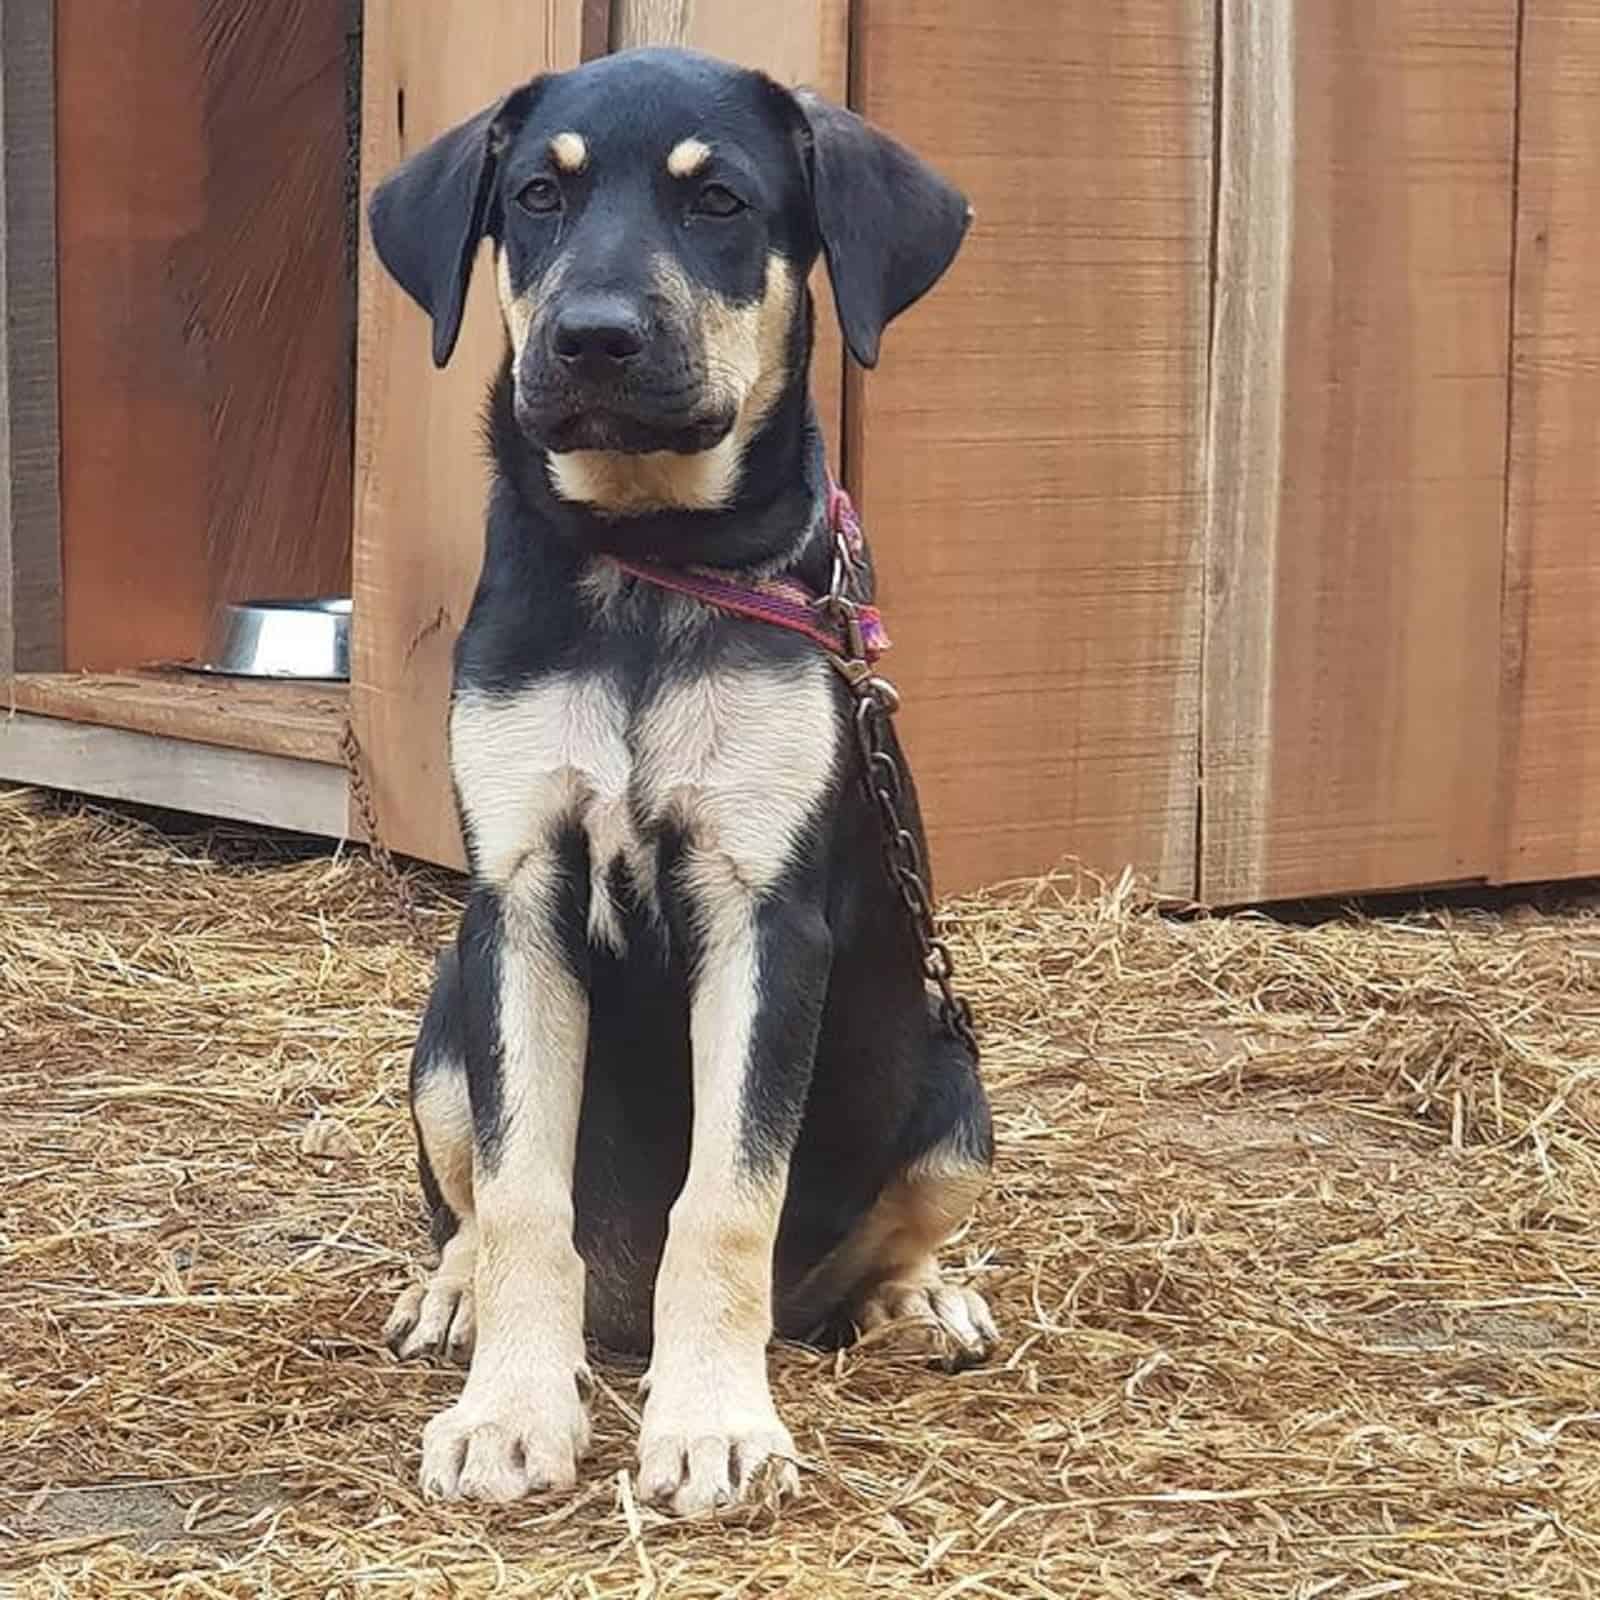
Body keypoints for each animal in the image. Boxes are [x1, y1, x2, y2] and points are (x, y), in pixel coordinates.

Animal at [368, 46, 992, 1510]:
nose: (593, 337)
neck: (647, 558)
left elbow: (724, 1201)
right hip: (443, 1026)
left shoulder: (761, 915)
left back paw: (915, 1303)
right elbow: (521, 1192)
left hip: (957, 1094)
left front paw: (712, 1425)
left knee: (879, 1244)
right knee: (467, 1199)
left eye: (721, 205)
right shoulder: (519, 903)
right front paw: (510, 1412)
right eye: (536, 196)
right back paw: (452, 1295)